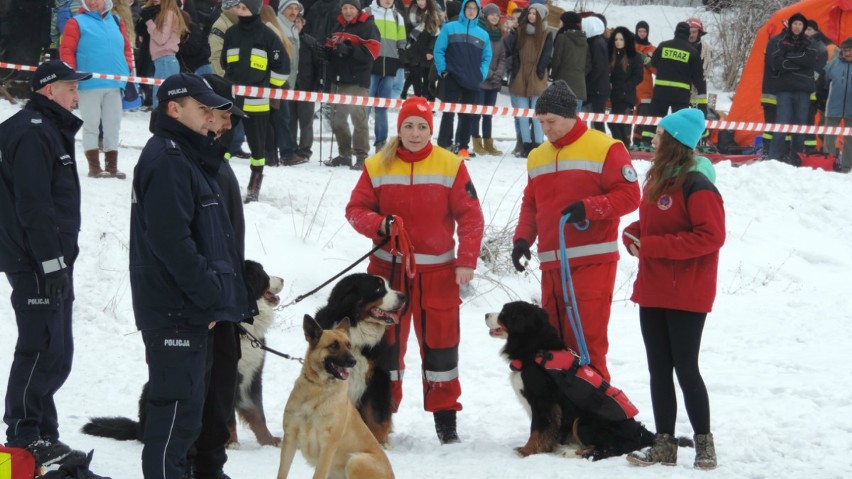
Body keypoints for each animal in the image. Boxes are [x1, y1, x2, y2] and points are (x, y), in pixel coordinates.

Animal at [82, 260, 282, 448]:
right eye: (263, 273)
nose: (282, 279)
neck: (242, 328)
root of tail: (139, 428)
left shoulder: (253, 376)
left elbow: (258, 413)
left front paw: (268, 440)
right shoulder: (226, 374)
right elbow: (229, 416)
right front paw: (231, 442)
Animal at [278, 316, 394, 478]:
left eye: (349, 345)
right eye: (333, 346)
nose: (353, 361)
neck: (319, 388)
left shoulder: (328, 446)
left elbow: (319, 474)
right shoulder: (290, 438)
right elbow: (282, 472)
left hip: (356, 461)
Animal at [312, 274, 406, 446]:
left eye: (388, 286)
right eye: (379, 288)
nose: (403, 296)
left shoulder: (377, 377)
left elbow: (375, 415)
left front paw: (380, 443)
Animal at [482, 304, 656, 462]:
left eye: (505, 312)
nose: (485, 314)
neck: (537, 349)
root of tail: (641, 432)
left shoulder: (542, 401)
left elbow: (537, 428)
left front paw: (527, 451)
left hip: (584, 421)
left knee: (607, 449)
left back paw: (572, 452)